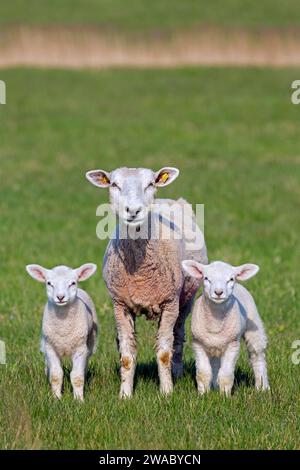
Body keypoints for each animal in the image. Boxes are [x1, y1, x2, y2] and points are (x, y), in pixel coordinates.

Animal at [25, 264, 98, 400]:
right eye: (49, 283)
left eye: (73, 283)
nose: (60, 297)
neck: (63, 329)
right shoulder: (50, 348)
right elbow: (56, 375)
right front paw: (56, 398)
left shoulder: (80, 348)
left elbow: (77, 376)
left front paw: (79, 399)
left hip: (91, 343)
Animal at [85, 167, 207, 398]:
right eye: (114, 184)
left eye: (150, 184)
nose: (133, 210)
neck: (140, 274)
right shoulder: (120, 305)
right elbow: (126, 355)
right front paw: (125, 394)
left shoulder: (170, 303)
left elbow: (164, 353)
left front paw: (167, 392)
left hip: (186, 299)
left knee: (178, 336)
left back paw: (177, 373)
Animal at [182, 260, 270, 396]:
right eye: (206, 278)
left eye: (231, 279)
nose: (218, 292)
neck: (215, 323)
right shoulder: (198, 343)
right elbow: (203, 373)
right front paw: (203, 394)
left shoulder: (232, 345)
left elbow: (226, 374)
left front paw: (225, 396)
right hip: (214, 345)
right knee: (215, 364)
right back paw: (214, 386)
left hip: (254, 327)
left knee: (257, 357)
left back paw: (262, 387)